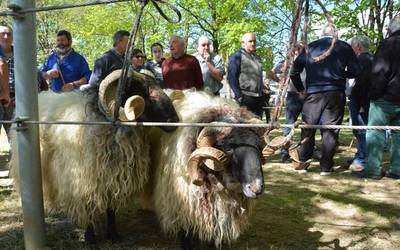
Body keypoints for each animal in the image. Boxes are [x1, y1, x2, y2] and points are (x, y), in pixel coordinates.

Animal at [10, 69, 179, 243]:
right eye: (141, 92)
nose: (175, 120)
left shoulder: (112, 178)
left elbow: (110, 209)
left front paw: (113, 235)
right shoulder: (83, 181)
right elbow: (88, 208)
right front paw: (90, 237)